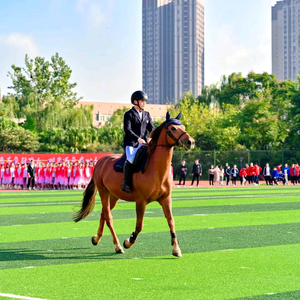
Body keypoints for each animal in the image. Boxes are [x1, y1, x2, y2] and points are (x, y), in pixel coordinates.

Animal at [74, 111, 196, 256]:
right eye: (173, 128)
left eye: (183, 127)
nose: (191, 142)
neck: (156, 170)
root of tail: (100, 161)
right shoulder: (141, 201)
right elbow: (139, 225)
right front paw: (128, 241)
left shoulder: (166, 199)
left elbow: (171, 221)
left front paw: (176, 248)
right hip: (103, 192)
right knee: (109, 217)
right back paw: (118, 246)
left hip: (113, 196)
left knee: (104, 213)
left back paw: (96, 238)